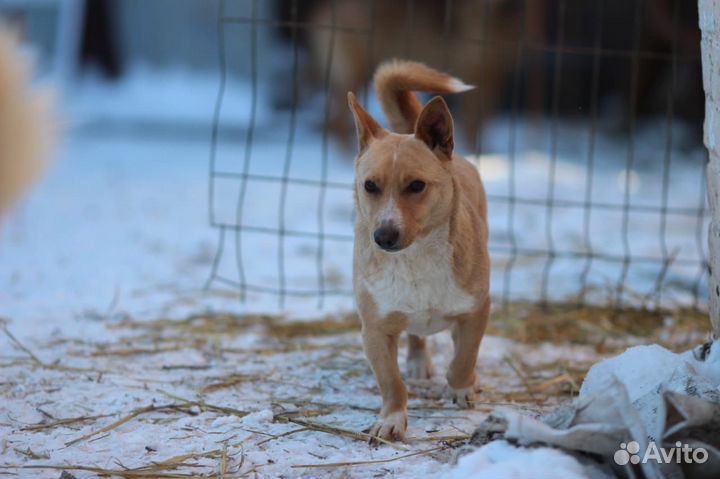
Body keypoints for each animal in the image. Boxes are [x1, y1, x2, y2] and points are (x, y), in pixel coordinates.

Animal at [348, 62, 490, 444]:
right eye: (370, 186)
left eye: (416, 185)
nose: (383, 236)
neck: (415, 259)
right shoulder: (375, 329)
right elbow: (391, 382)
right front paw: (391, 420)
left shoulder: (477, 311)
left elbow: (464, 359)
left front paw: (461, 388)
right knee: (414, 337)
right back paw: (416, 360)